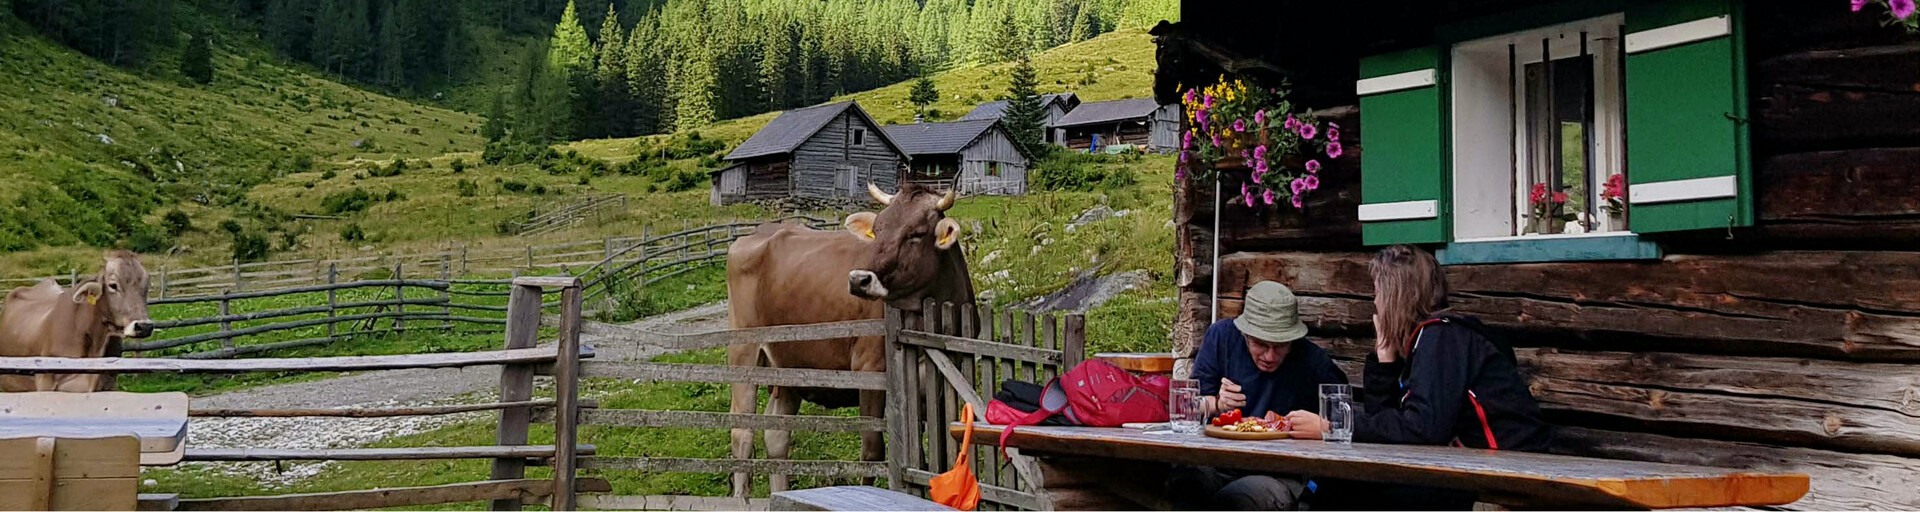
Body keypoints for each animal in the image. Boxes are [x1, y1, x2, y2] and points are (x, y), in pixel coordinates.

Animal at [724, 182, 976, 497]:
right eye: (877, 230)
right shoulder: (870, 370)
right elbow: (872, 451)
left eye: (916, 234)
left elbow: (936, 455)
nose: (858, 279)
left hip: (789, 366)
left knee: (776, 434)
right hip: (743, 352)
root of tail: (759, 233)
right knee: (742, 432)